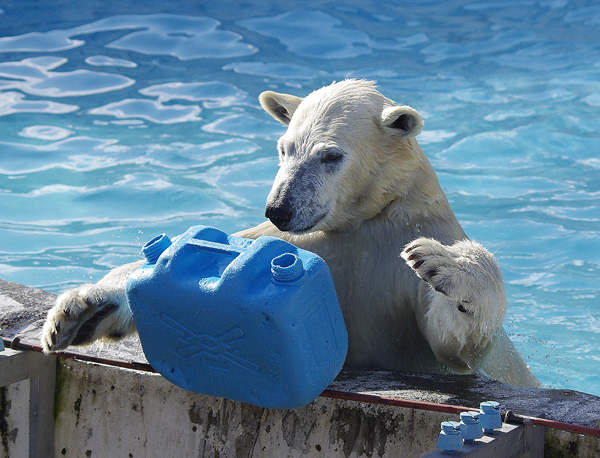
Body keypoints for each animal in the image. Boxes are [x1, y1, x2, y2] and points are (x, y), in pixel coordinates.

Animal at [41, 79, 540, 386]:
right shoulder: (300, 242)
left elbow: (455, 339)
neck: (362, 219)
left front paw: (444, 264)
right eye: (284, 148)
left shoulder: (395, 267)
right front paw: (79, 310)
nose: (279, 208)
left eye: (330, 155)